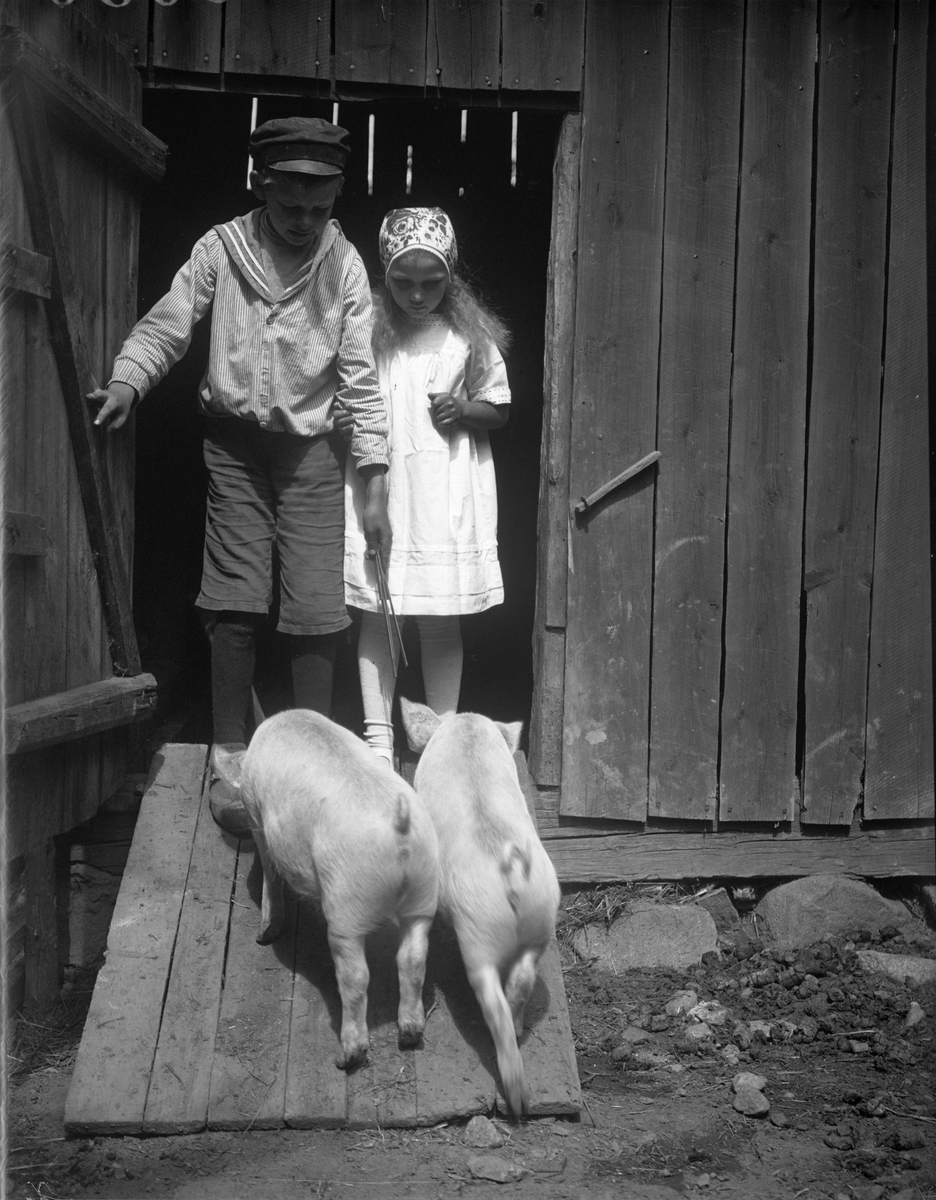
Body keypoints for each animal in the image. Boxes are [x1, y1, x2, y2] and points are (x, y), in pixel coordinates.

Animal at [234, 705, 439, 1065]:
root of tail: (399, 828)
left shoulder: (256, 814)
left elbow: (271, 871)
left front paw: (264, 935)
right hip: (424, 892)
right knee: (413, 958)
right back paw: (410, 1035)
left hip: (346, 906)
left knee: (356, 977)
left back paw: (346, 1057)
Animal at [398, 700, 559, 1118]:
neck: (465, 727)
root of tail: (512, 873)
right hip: (542, 919)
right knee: (522, 981)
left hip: (478, 936)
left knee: (495, 1003)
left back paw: (518, 1101)